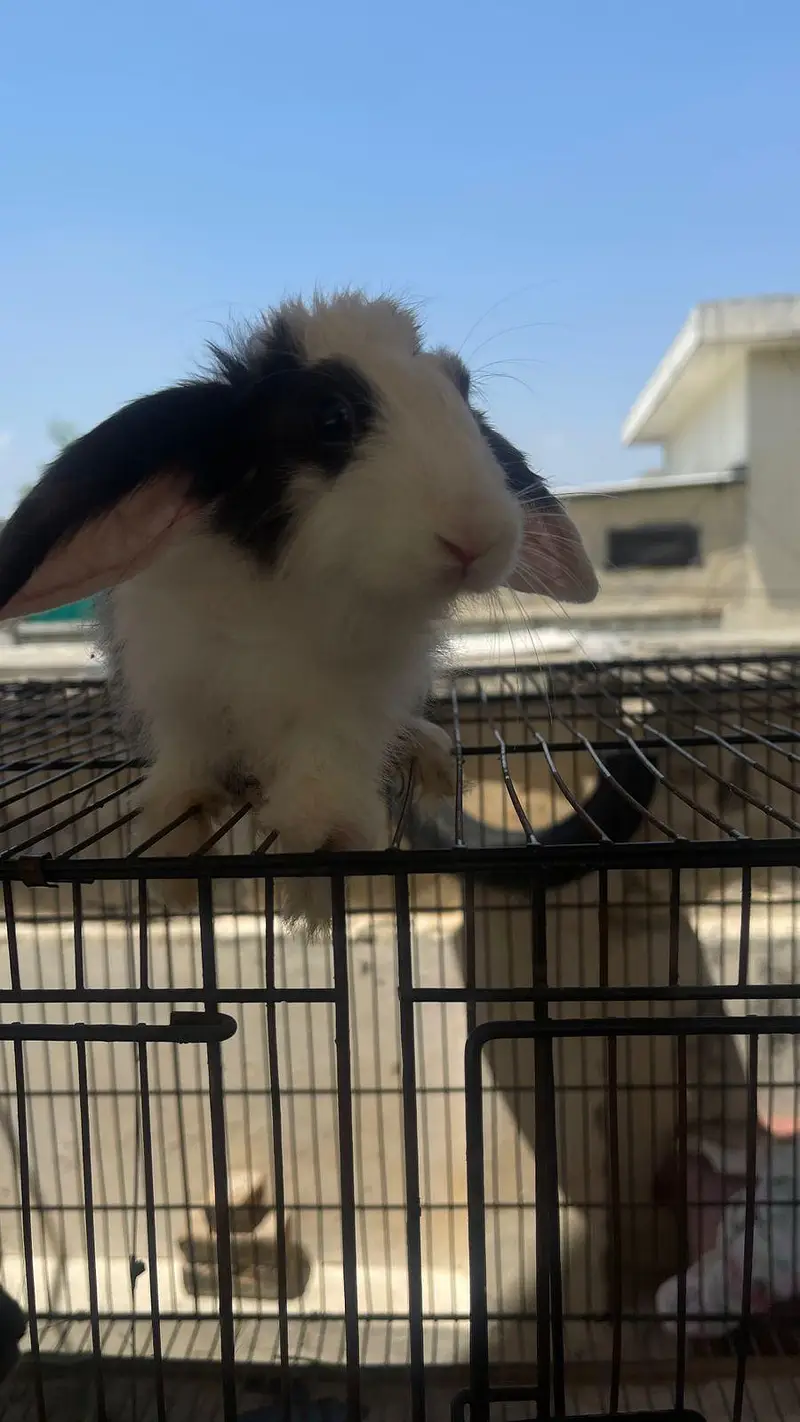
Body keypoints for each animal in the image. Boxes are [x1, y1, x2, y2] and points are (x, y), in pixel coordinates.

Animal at [0, 290, 597, 928]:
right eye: (331, 417)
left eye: (462, 389)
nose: (477, 537)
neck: (301, 587)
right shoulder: (179, 683)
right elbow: (189, 760)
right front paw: (177, 853)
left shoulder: (349, 703)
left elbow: (325, 774)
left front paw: (320, 857)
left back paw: (428, 752)